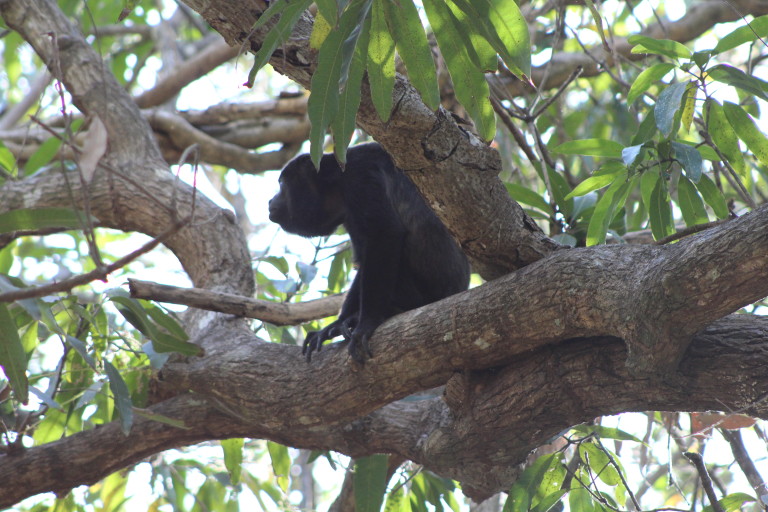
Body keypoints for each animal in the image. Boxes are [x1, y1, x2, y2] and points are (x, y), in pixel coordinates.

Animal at [270, 142, 468, 362]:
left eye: (281, 185)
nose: (270, 201)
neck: (337, 183)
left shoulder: (360, 176)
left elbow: (384, 233)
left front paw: (367, 322)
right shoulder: (349, 214)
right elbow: (363, 259)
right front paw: (337, 324)